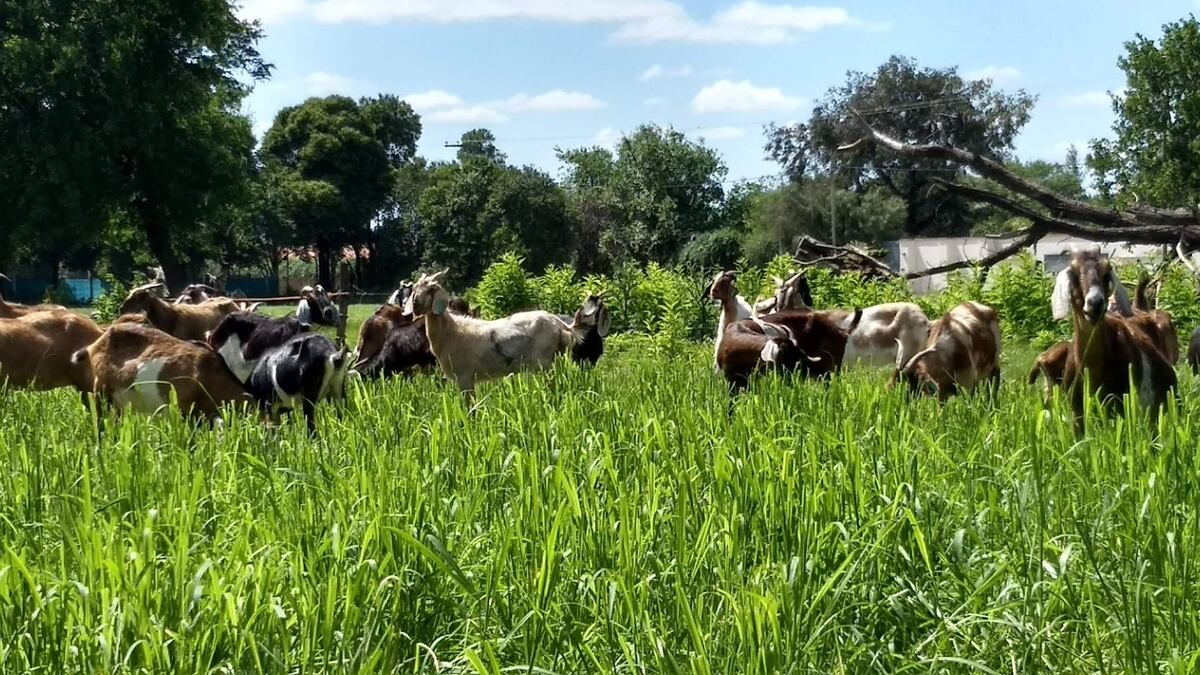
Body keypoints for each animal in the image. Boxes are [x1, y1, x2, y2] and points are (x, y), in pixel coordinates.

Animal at [404, 269, 577, 393]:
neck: (451, 331)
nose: (416, 304)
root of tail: (561, 325)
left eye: (432, 289)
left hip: (544, 361)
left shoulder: (464, 377)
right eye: (415, 288)